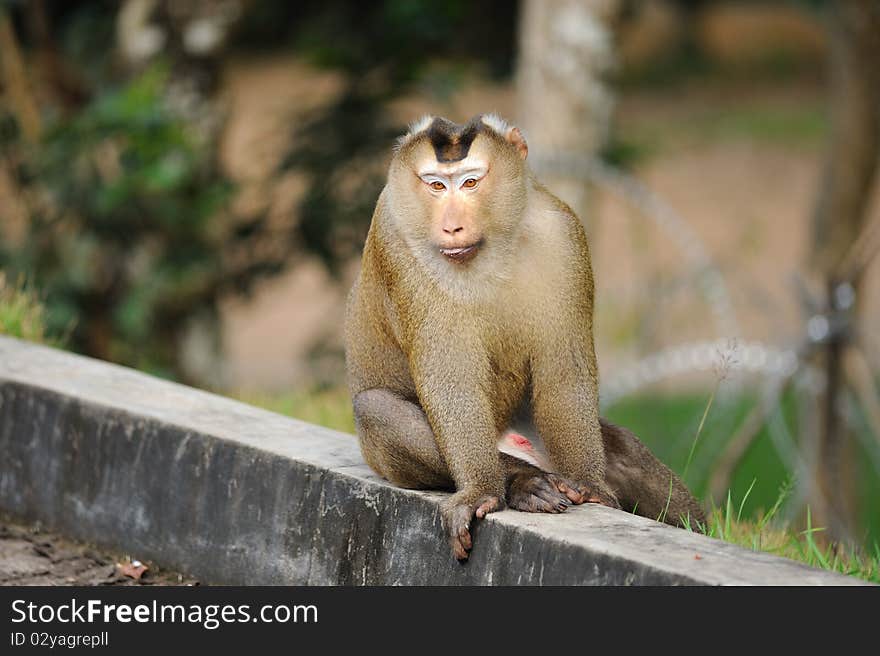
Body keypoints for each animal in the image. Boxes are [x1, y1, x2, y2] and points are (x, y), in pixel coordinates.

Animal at [340, 113, 704, 560]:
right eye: (436, 185)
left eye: (471, 183)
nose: (451, 225)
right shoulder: (398, 243)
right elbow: (452, 382)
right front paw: (482, 490)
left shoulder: (565, 236)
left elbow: (565, 370)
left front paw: (590, 483)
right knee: (376, 409)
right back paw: (524, 482)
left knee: (620, 446)